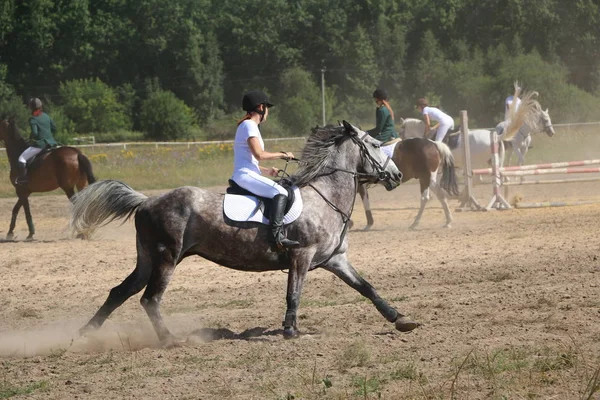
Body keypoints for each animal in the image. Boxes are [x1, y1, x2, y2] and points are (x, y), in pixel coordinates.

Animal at [69, 122, 418, 344]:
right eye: (376, 145)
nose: (398, 175)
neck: (326, 196)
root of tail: (146, 200)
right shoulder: (301, 256)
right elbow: (294, 294)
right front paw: (290, 331)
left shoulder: (335, 260)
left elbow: (367, 288)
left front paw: (400, 318)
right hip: (167, 258)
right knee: (150, 299)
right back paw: (170, 340)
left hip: (147, 259)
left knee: (120, 292)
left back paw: (87, 332)